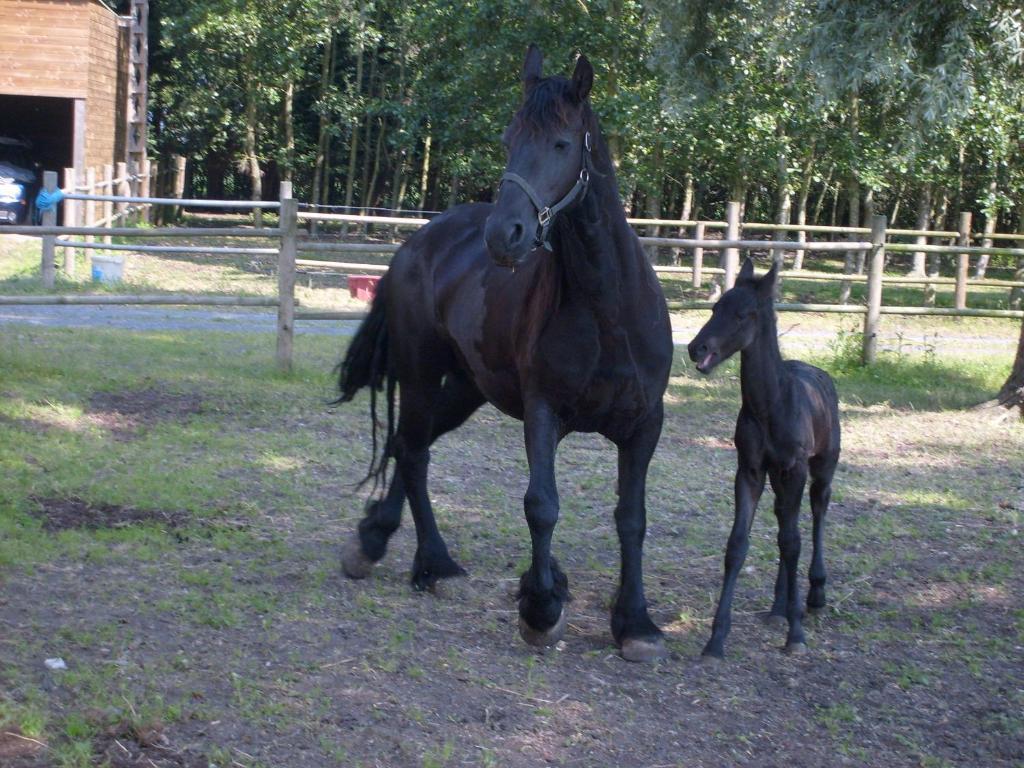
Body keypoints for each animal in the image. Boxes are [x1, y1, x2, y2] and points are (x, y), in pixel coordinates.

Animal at [335, 46, 675, 663]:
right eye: (507, 139)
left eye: (562, 144)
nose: (505, 234)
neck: (607, 310)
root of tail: (417, 244)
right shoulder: (544, 412)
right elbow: (542, 504)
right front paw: (540, 608)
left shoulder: (644, 424)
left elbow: (631, 517)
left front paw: (635, 622)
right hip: (421, 376)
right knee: (414, 451)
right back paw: (433, 563)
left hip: (465, 389)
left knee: (409, 444)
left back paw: (380, 537)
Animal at [688, 262, 839, 659]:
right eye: (715, 308)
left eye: (743, 314)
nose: (696, 348)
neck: (771, 406)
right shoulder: (750, 471)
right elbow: (738, 544)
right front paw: (716, 639)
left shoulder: (795, 469)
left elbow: (793, 541)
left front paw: (796, 634)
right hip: (779, 478)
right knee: (786, 519)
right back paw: (777, 607)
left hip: (822, 467)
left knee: (817, 513)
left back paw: (814, 595)